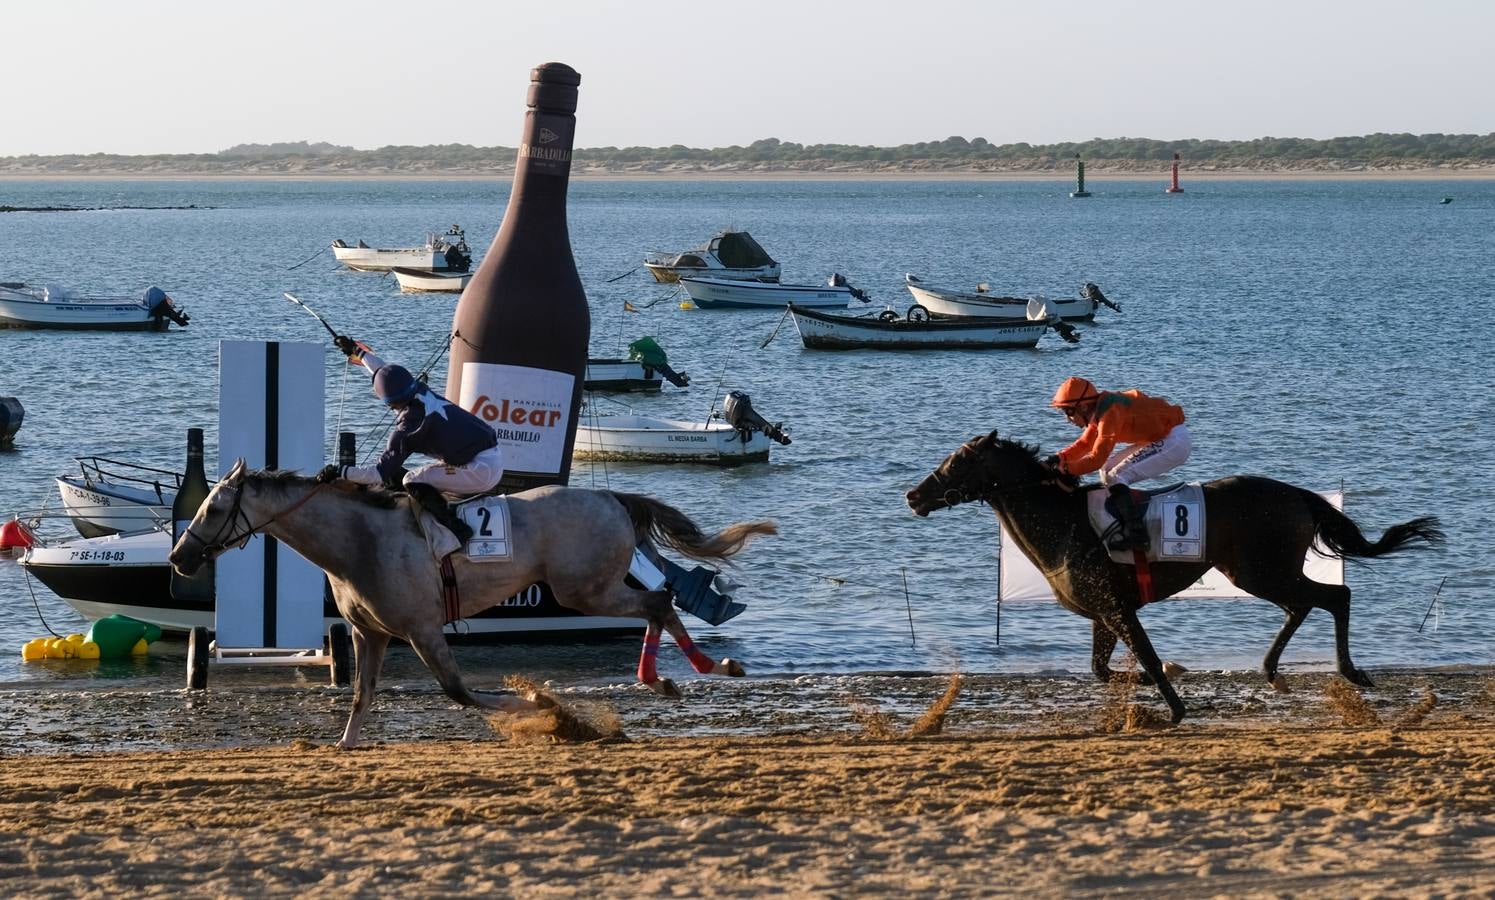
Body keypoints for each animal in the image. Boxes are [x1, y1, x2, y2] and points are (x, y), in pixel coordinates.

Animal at [171, 460, 783, 747]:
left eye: (213, 506)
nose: (179, 556)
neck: (358, 541)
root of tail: (611, 497)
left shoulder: (420, 629)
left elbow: (460, 692)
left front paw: (538, 704)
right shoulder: (371, 633)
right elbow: (362, 696)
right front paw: (344, 745)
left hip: (585, 590)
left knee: (658, 601)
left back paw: (697, 671)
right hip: (590, 588)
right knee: (659, 602)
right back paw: (684, 674)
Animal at [902, 430, 1441, 720]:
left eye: (956, 462)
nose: (913, 495)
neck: (1064, 522)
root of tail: (1298, 495)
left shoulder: (1118, 608)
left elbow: (1148, 657)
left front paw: (1174, 706)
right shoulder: (1103, 613)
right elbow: (1101, 668)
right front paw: (1141, 685)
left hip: (1261, 570)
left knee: (1335, 595)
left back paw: (1348, 671)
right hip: (1256, 572)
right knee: (1305, 603)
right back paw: (1272, 671)